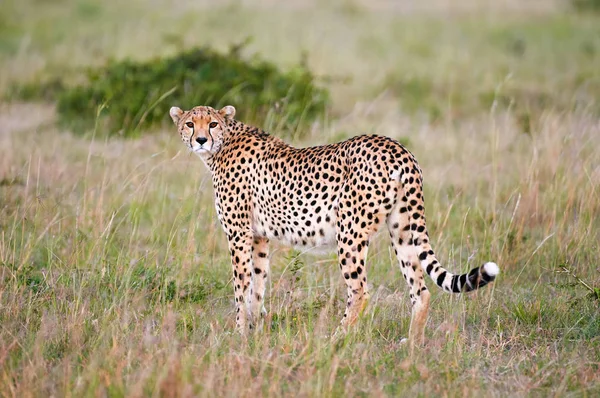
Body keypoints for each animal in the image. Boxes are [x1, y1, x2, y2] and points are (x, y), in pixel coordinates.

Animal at [168, 105, 496, 346]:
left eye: (212, 124)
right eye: (190, 124)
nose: (200, 140)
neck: (223, 145)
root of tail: (396, 147)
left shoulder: (239, 235)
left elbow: (241, 287)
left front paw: (238, 334)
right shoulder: (259, 237)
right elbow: (257, 287)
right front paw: (255, 330)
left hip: (350, 232)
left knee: (361, 291)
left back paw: (335, 337)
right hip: (402, 230)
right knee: (421, 289)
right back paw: (412, 345)